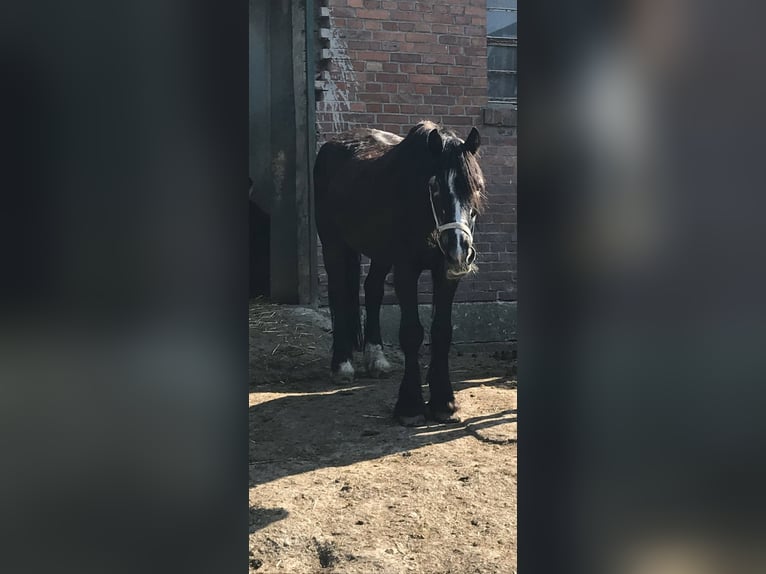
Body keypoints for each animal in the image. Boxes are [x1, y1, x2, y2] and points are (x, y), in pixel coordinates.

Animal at [314, 120, 486, 428]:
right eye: (435, 187)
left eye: (476, 187)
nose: (458, 250)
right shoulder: (406, 270)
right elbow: (411, 332)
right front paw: (410, 406)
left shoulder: (446, 275)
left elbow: (442, 331)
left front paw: (445, 403)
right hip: (333, 243)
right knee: (338, 293)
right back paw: (342, 364)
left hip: (381, 254)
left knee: (372, 290)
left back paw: (376, 359)